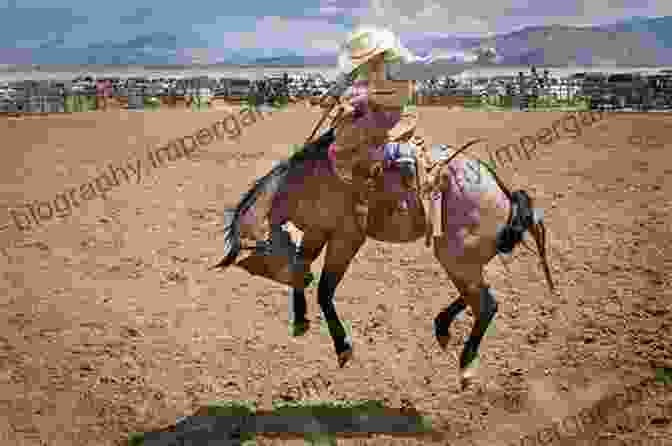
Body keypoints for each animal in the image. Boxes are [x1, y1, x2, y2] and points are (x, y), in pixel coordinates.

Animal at [213, 127, 552, 388]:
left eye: (261, 262)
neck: (303, 180)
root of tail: (504, 193)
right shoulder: (317, 231)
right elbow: (302, 264)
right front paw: (300, 320)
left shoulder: (346, 236)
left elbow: (324, 289)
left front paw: (342, 347)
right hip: (461, 257)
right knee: (477, 295)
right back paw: (442, 326)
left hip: (455, 256)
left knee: (486, 303)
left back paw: (466, 366)